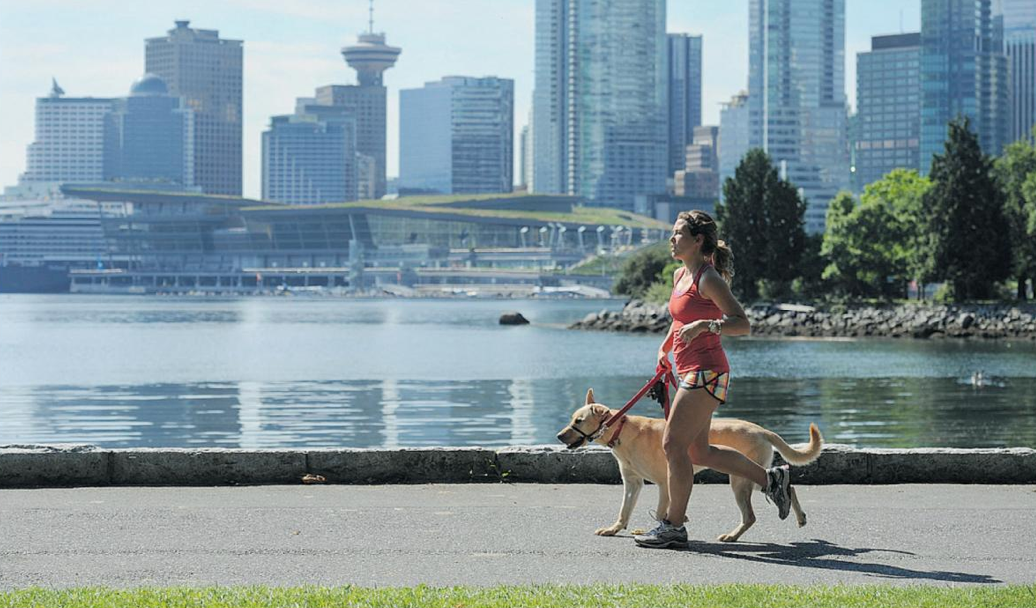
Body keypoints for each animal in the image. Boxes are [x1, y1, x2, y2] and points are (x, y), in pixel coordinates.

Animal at [559, 389, 824, 542]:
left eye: (579, 420)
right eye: (572, 418)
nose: (559, 436)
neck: (622, 430)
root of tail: (762, 430)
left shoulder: (665, 482)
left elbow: (660, 511)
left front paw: (664, 528)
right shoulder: (632, 483)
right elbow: (624, 510)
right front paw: (615, 529)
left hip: (740, 479)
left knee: (751, 514)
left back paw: (734, 534)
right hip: (750, 478)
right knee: (784, 484)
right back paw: (795, 512)